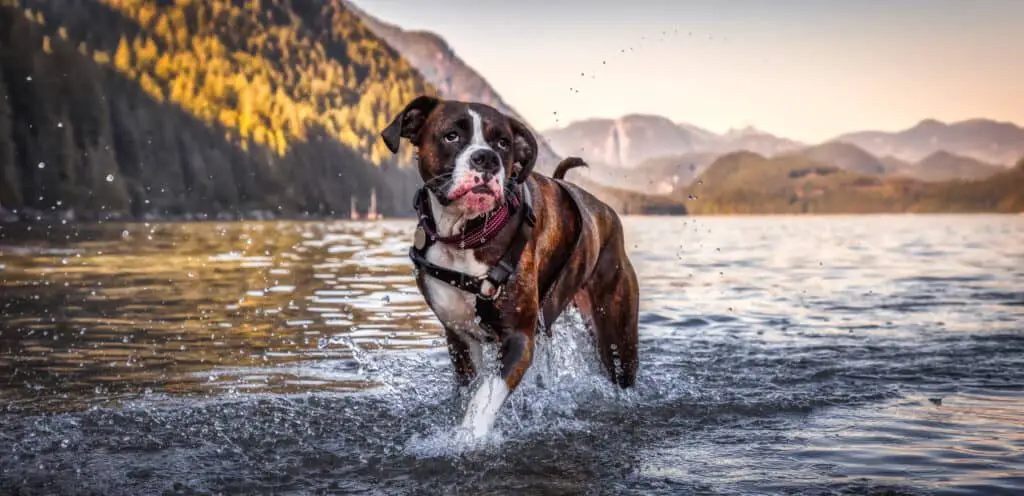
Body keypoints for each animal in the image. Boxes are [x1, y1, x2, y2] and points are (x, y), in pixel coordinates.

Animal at [382, 95, 638, 438]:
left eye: (503, 143)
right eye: (451, 136)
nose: (487, 158)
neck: (467, 236)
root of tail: (604, 210)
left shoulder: (519, 339)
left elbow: (485, 398)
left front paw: (467, 439)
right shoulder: (460, 338)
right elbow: (472, 391)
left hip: (616, 336)